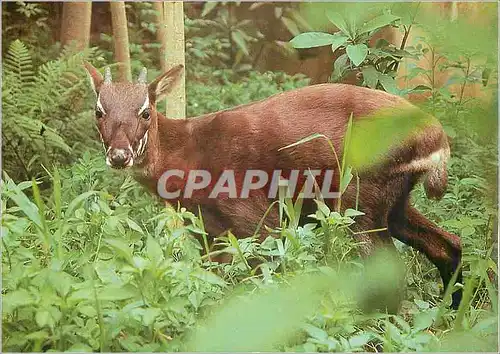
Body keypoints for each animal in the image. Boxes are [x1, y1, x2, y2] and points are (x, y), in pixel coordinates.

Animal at [84, 62, 462, 308]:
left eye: (145, 111)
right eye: (99, 110)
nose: (119, 155)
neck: (187, 155)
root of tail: (437, 139)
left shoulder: (254, 216)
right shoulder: (207, 230)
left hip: (359, 198)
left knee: (390, 273)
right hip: (391, 201)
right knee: (449, 245)